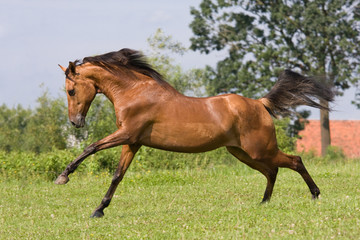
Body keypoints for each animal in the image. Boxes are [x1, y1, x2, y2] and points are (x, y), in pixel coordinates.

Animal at [55, 48, 334, 218]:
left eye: (71, 90)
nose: (75, 123)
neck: (135, 91)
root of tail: (260, 103)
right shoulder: (132, 142)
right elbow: (117, 176)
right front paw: (99, 209)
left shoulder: (126, 134)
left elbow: (91, 147)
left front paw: (63, 177)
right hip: (243, 153)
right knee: (272, 171)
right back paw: (264, 202)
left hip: (260, 149)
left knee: (294, 161)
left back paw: (315, 195)